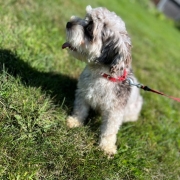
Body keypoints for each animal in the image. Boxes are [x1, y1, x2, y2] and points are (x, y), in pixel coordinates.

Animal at [62, 5, 143, 155]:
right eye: (85, 17)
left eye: (90, 28)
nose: (69, 23)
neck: (101, 75)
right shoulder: (83, 95)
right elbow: (80, 111)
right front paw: (75, 122)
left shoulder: (114, 111)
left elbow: (109, 130)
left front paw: (107, 147)